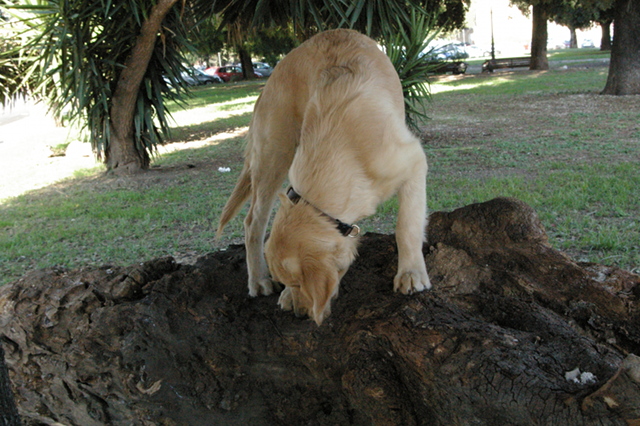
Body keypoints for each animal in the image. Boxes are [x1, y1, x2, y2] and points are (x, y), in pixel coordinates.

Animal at [218, 28, 432, 324]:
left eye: (299, 283)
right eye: (291, 283)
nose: (300, 313)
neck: (343, 148)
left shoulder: (413, 162)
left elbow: (407, 226)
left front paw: (411, 273)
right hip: (274, 154)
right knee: (253, 221)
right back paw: (258, 280)